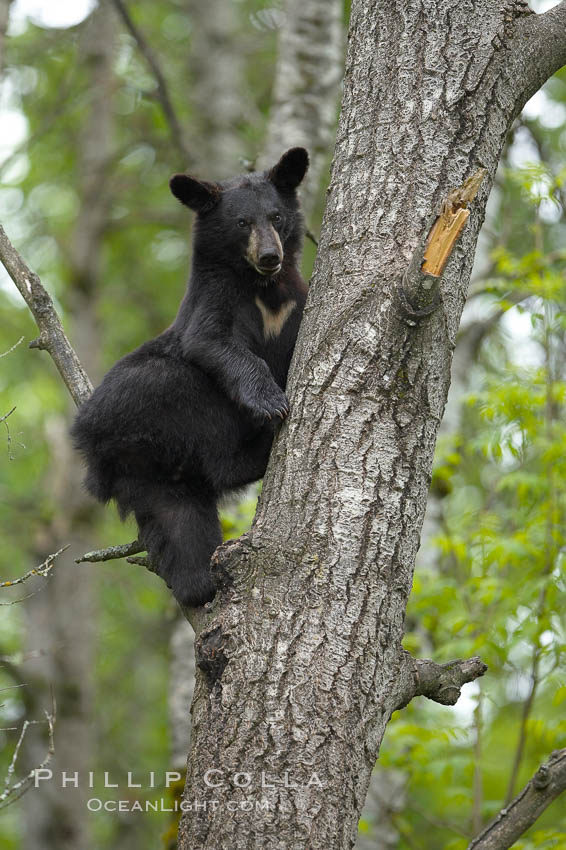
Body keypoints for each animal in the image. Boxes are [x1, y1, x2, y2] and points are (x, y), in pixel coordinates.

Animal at [72, 149, 310, 608]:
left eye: (276, 216)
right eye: (242, 222)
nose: (269, 256)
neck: (263, 288)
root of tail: (97, 452)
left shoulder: (296, 299)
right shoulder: (215, 297)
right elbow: (211, 341)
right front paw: (271, 401)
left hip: (163, 484)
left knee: (182, 521)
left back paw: (197, 583)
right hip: (153, 397)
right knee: (206, 434)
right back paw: (258, 448)